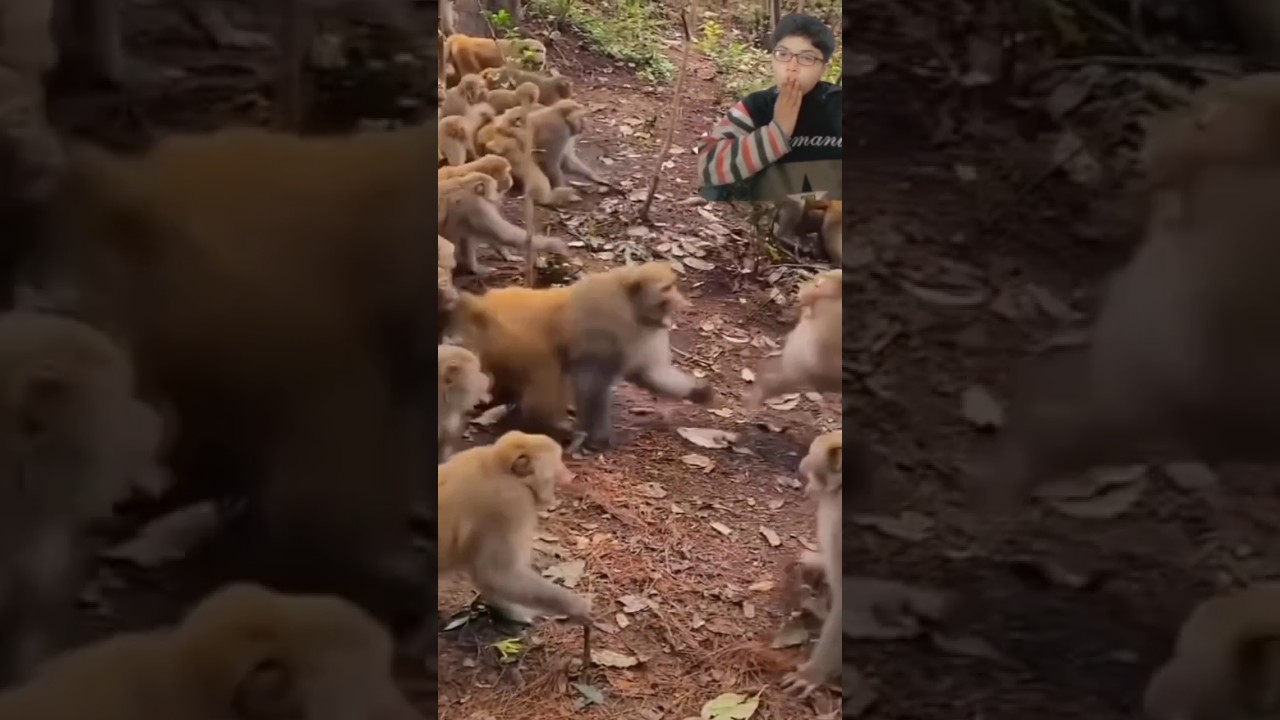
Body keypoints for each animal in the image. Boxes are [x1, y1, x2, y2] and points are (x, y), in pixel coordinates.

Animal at [438, 431, 592, 625]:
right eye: (558, 463)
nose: (569, 474)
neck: (499, 469)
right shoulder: (511, 505)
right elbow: (498, 574)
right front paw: (574, 606)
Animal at [447, 262, 714, 450]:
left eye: (674, 286)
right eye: (666, 289)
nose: (681, 301)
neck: (633, 307)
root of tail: (485, 306)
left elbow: (648, 372)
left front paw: (699, 392)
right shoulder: (607, 324)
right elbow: (590, 379)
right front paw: (599, 439)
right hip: (514, 339)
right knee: (547, 374)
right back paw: (550, 426)